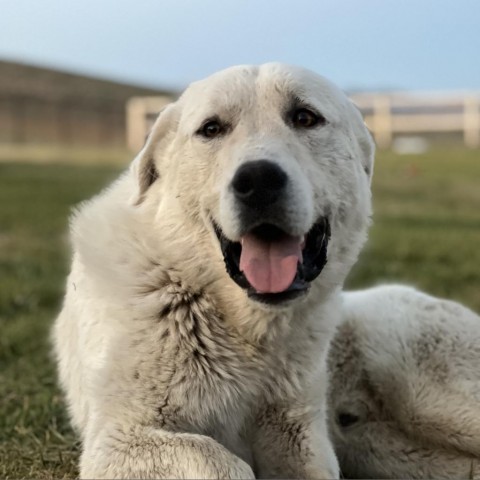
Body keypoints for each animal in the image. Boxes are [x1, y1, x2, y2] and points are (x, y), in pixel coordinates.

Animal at [53, 63, 376, 480]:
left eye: (305, 118)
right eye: (211, 129)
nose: (258, 181)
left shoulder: (297, 429)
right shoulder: (118, 440)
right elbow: (218, 458)